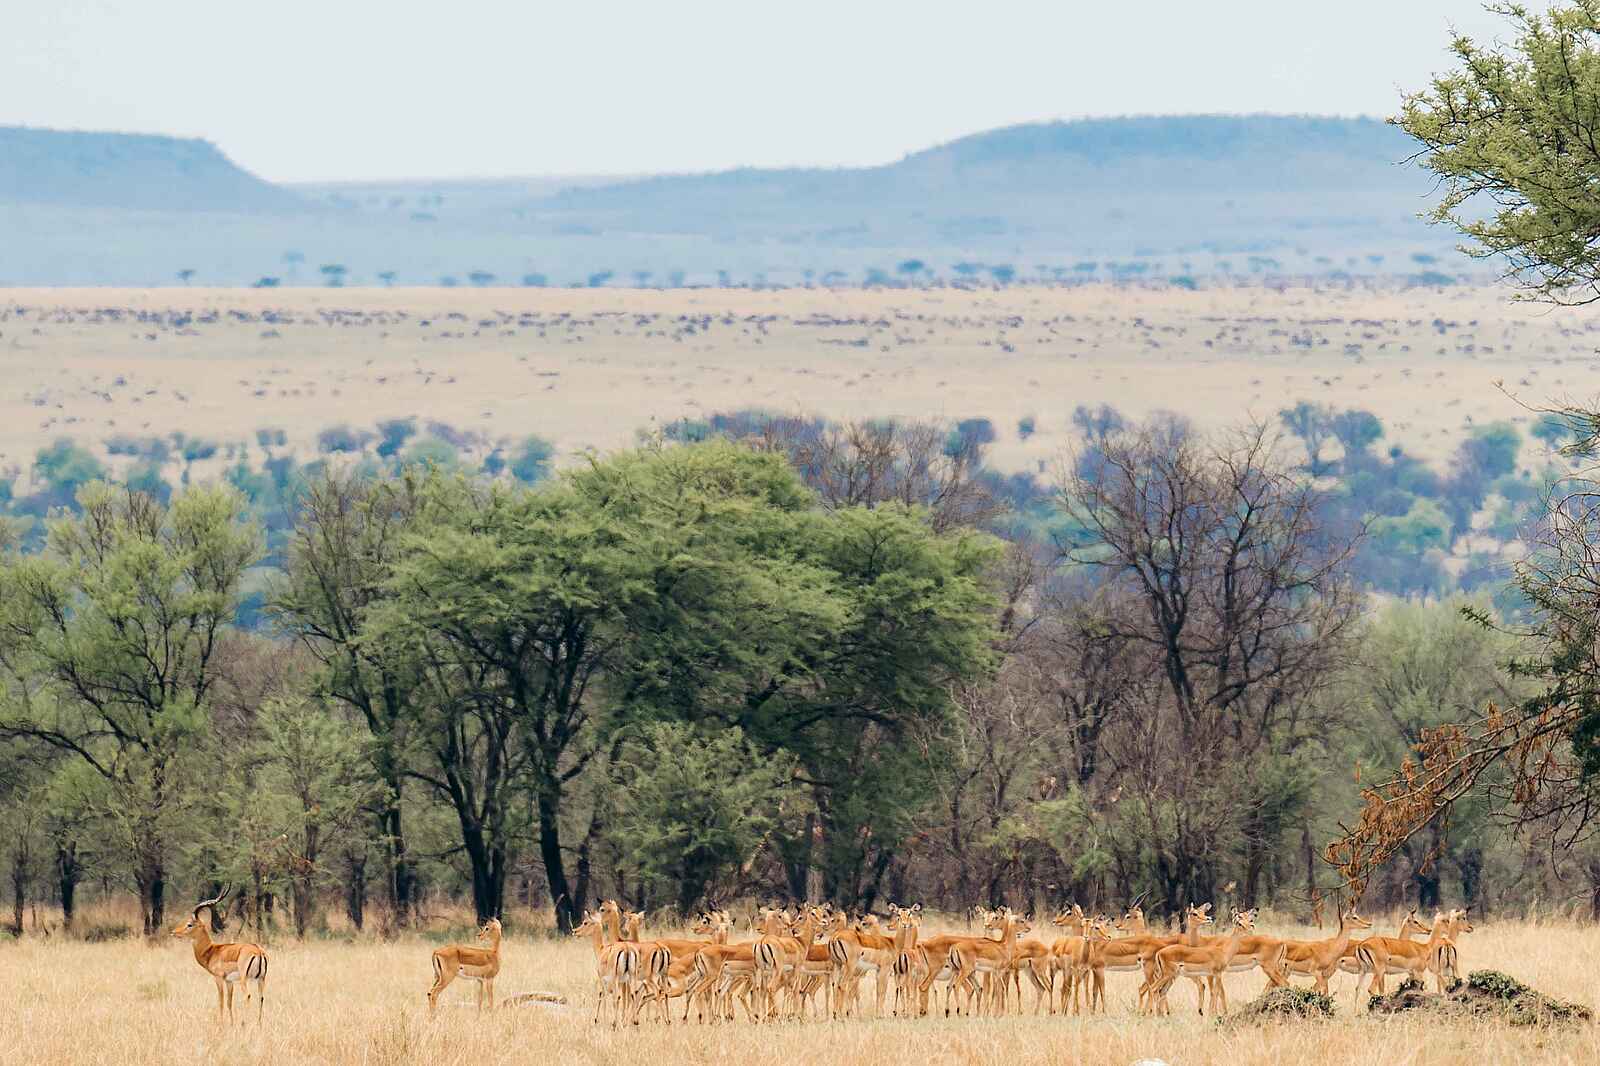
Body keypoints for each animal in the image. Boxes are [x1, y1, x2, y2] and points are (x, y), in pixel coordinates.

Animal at [171, 887, 267, 1024]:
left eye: (190, 924)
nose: (174, 932)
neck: (211, 951)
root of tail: (258, 951)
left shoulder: (218, 978)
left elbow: (221, 1001)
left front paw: (221, 1023)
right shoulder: (229, 981)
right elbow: (229, 1002)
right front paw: (231, 1023)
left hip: (244, 979)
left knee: (248, 996)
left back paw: (244, 1023)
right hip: (261, 979)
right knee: (261, 998)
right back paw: (258, 1024)